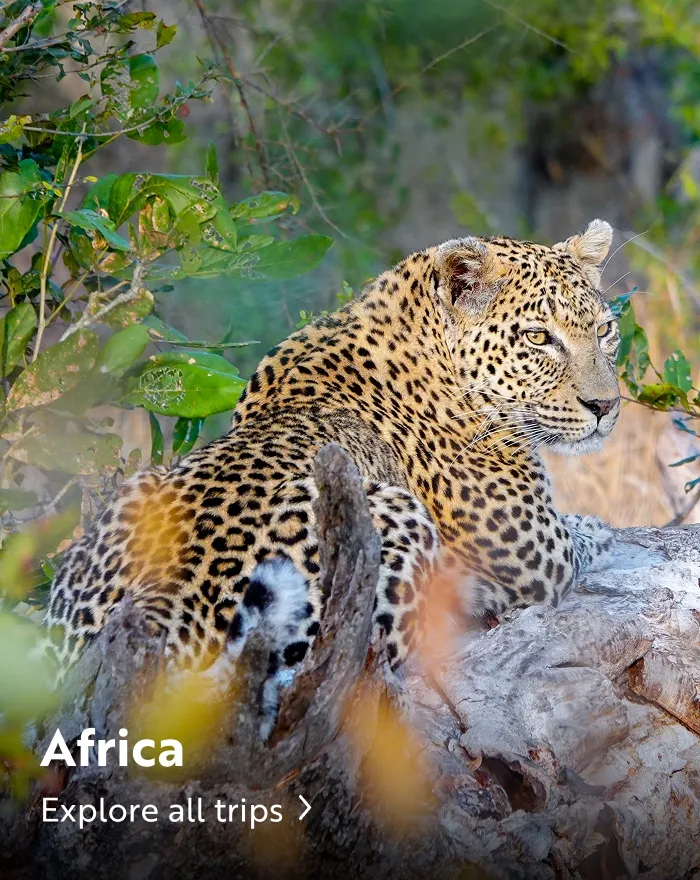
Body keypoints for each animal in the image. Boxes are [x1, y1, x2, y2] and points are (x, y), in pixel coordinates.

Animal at [44, 218, 621, 736]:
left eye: (604, 330)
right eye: (538, 337)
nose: (606, 406)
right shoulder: (539, 554)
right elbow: (585, 539)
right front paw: (601, 529)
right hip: (389, 522)